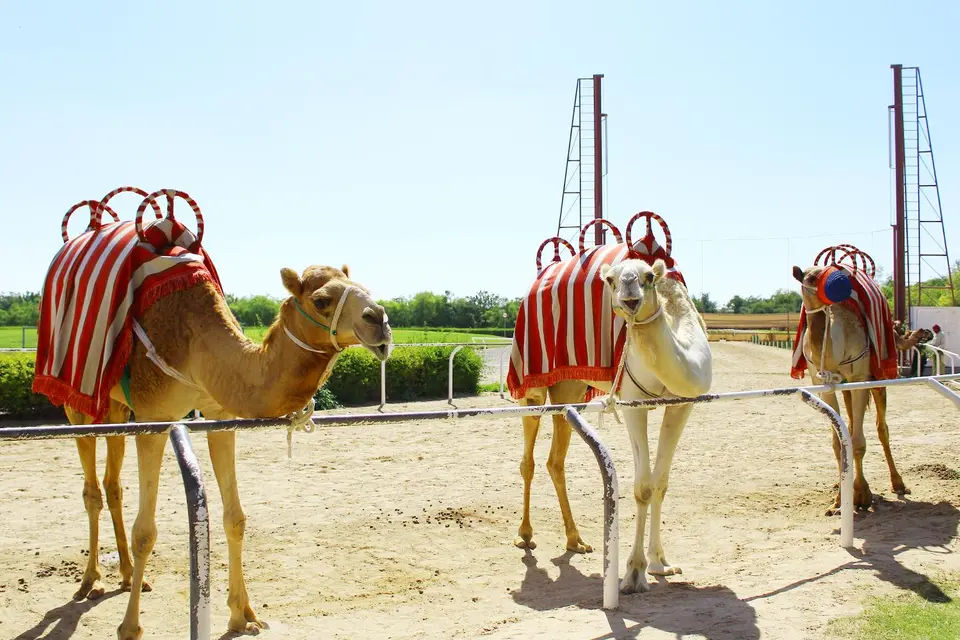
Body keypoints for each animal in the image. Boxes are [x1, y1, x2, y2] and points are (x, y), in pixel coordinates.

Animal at [63, 265, 391, 639]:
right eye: (321, 300)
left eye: (365, 288)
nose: (379, 319)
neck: (197, 347)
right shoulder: (153, 419)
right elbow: (145, 532)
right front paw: (130, 627)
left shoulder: (221, 416)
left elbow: (235, 518)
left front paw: (243, 615)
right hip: (80, 405)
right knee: (92, 488)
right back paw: (91, 581)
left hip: (116, 408)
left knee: (113, 484)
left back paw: (131, 575)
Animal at [514, 258, 712, 594]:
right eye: (609, 279)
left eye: (649, 276)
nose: (630, 294)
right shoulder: (633, 403)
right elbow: (643, 487)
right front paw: (634, 574)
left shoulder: (682, 405)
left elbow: (660, 484)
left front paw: (661, 562)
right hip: (533, 382)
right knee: (528, 458)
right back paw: (525, 535)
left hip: (571, 388)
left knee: (556, 459)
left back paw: (576, 540)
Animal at [792, 264, 909, 513]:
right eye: (811, 277)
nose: (840, 283)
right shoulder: (825, 384)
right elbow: (839, 443)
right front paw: (839, 500)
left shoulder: (860, 377)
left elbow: (857, 442)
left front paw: (862, 495)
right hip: (845, 386)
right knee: (853, 424)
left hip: (878, 378)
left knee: (881, 428)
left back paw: (898, 483)